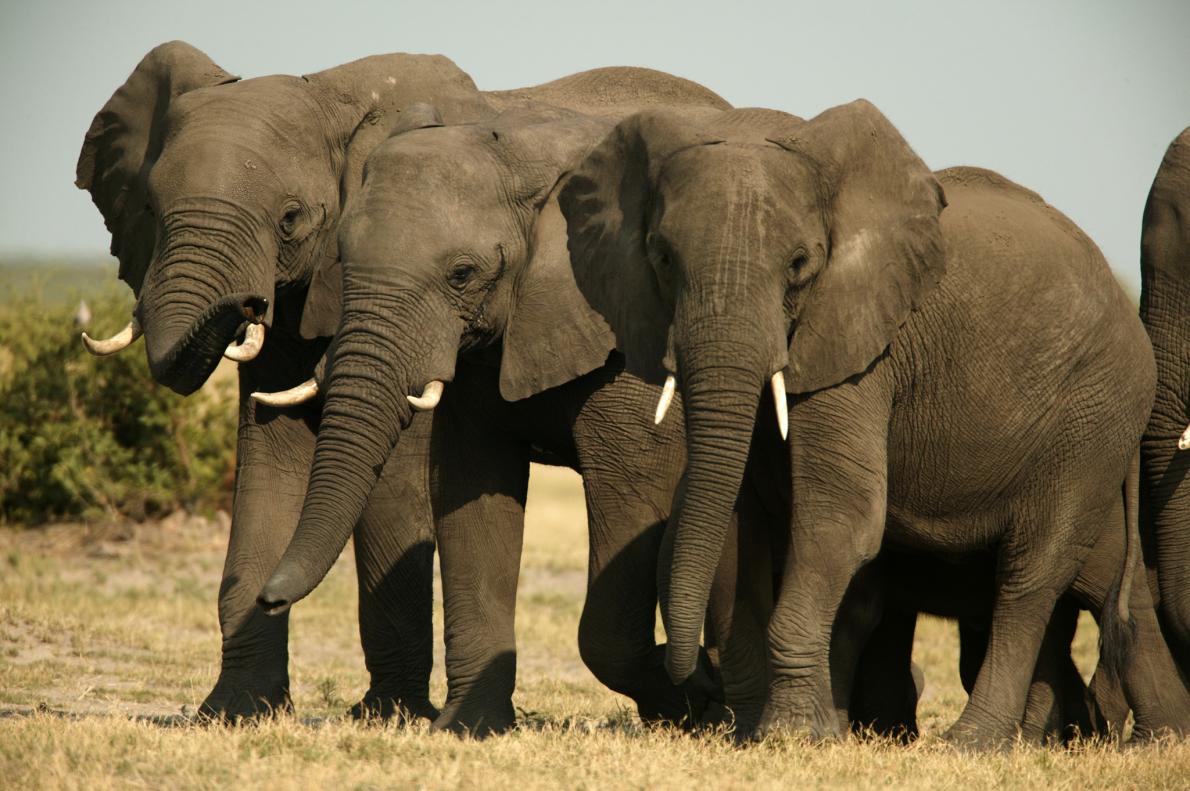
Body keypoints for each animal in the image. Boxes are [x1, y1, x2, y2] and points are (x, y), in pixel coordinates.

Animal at [76, 40, 729, 722]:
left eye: (290, 219)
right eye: (151, 210)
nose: (248, 303)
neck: (329, 94)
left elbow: (398, 479)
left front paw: (388, 716)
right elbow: (269, 452)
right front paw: (233, 712)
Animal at [557, 101, 1190, 746]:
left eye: (800, 264)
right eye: (661, 258)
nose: (693, 684)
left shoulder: (864, 346)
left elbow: (840, 514)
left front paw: (793, 736)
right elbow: (732, 517)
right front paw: (761, 733)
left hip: (1095, 418)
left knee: (1032, 575)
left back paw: (975, 745)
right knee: (1090, 579)